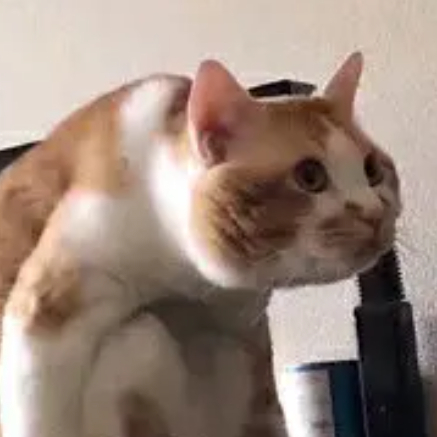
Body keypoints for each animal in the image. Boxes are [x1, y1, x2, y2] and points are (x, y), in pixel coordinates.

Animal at [0, 52, 400, 437]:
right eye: (310, 176)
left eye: (372, 170)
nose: (374, 213)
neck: (182, 273)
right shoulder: (49, 306)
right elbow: (40, 415)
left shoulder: (242, 339)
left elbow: (263, 414)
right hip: (138, 338)